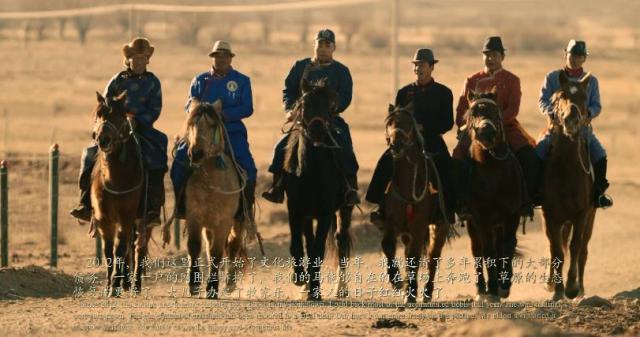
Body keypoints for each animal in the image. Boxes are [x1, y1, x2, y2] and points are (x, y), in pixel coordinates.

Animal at [91, 91, 149, 294]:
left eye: (119, 115)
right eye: (98, 114)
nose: (103, 139)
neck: (115, 179)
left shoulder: (126, 216)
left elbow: (120, 248)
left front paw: (115, 284)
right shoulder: (103, 218)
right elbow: (109, 251)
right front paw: (110, 284)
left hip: (143, 220)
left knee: (138, 248)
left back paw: (135, 284)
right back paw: (125, 282)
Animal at [284, 77, 356, 300]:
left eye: (329, 106)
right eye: (303, 104)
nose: (317, 132)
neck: (311, 171)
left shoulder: (325, 212)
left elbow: (318, 251)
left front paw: (315, 291)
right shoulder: (296, 210)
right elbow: (298, 245)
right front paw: (300, 279)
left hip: (344, 209)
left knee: (341, 241)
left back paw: (341, 288)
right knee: (308, 241)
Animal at [382, 101, 452, 302]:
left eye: (408, 124)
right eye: (389, 123)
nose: (396, 145)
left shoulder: (419, 226)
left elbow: (415, 257)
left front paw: (411, 292)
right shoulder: (392, 222)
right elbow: (388, 245)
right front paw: (396, 281)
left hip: (438, 227)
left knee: (432, 258)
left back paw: (427, 292)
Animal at [462, 89, 524, 302]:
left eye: (495, 112)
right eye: (472, 113)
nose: (486, 132)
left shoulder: (511, 215)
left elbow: (507, 246)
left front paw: (504, 285)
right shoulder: (481, 219)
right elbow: (487, 251)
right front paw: (493, 289)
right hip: (473, 224)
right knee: (477, 251)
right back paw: (482, 289)